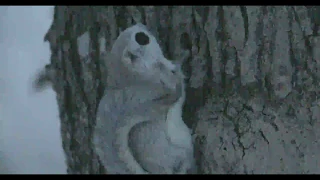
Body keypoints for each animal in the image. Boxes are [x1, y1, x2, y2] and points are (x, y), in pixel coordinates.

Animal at [93, 24, 195, 174]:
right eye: (141, 38)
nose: (142, 25)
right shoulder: (167, 79)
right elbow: (179, 82)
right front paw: (183, 56)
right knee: (185, 160)